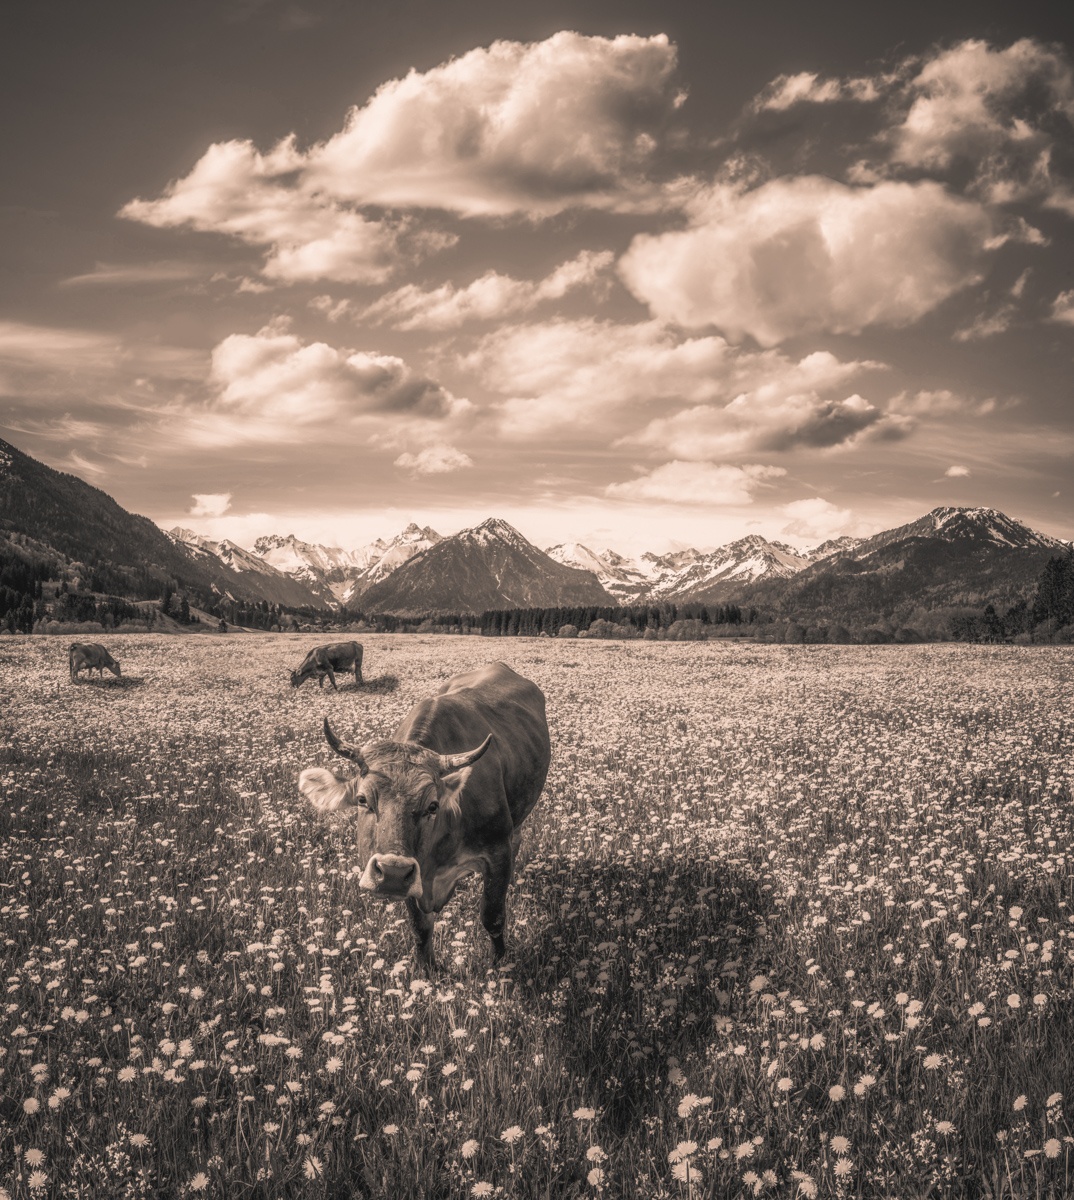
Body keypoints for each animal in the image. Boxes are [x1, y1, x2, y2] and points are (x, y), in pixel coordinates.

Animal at [298, 662, 550, 972]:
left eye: (432, 805)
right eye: (362, 800)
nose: (392, 872)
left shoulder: (497, 852)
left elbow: (493, 916)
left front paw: (499, 965)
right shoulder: (414, 877)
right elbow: (420, 927)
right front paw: (428, 970)